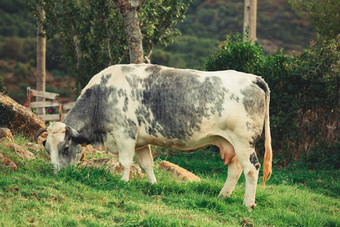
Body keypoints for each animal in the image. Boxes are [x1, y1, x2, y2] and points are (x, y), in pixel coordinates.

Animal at [35, 63, 274, 207]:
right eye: (47, 148)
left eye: (66, 148)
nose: (55, 174)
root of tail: (252, 78)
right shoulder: (141, 142)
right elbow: (146, 164)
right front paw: (152, 185)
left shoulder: (125, 134)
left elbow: (124, 162)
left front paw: (123, 183)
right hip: (229, 143)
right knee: (235, 169)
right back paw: (222, 196)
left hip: (244, 142)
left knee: (251, 169)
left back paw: (248, 204)